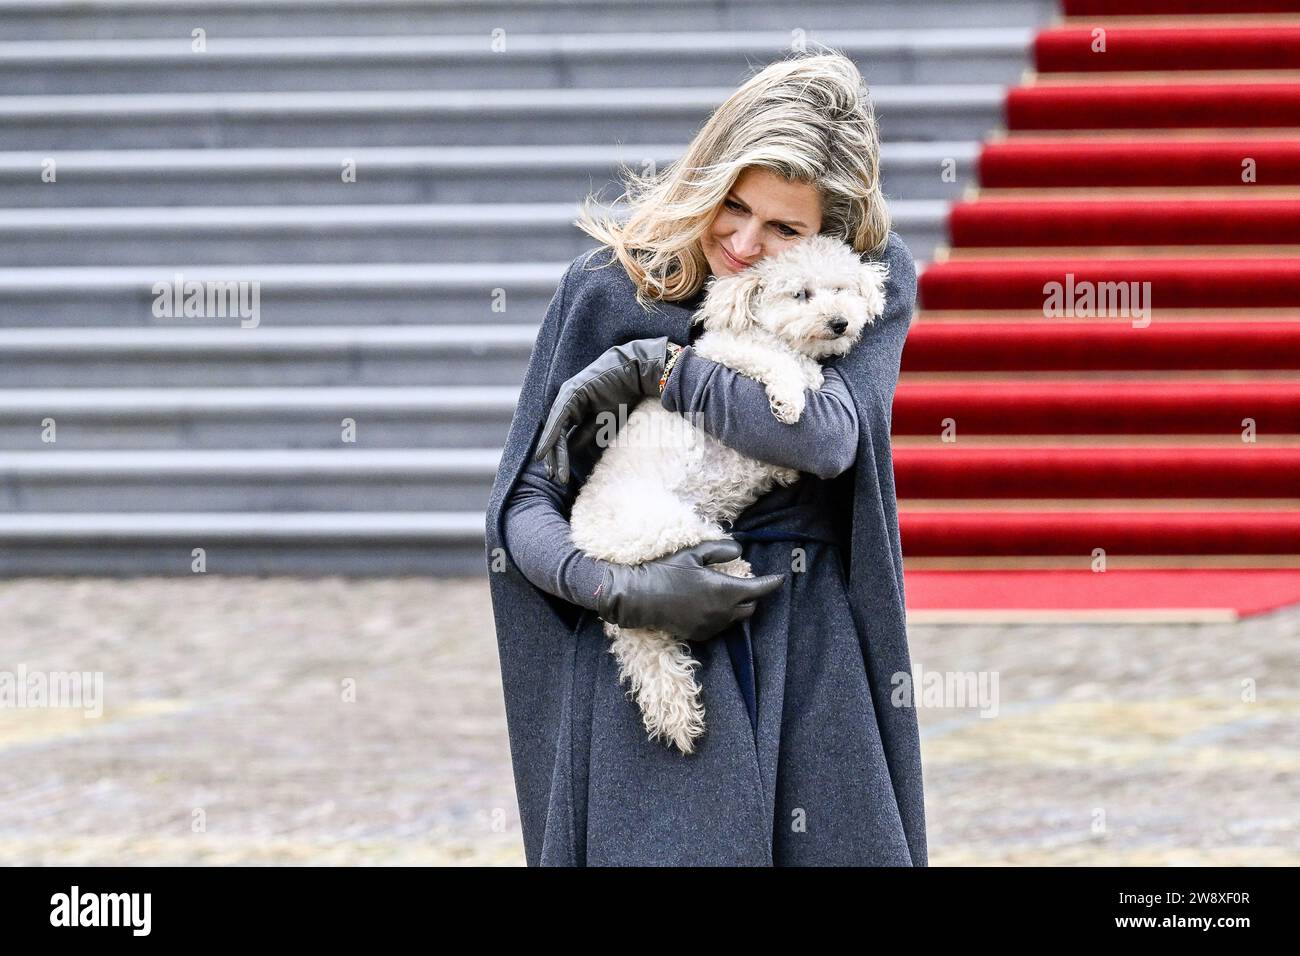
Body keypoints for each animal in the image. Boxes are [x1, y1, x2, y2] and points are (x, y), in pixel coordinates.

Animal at [572, 231, 894, 754]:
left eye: (841, 289)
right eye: (800, 294)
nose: (839, 322)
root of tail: (587, 540)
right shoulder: (734, 357)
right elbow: (779, 367)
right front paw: (791, 398)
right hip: (664, 525)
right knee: (699, 552)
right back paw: (735, 572)